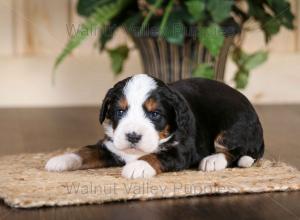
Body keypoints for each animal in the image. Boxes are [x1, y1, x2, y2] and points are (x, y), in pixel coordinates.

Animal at [45, 74, 264, 179]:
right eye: (120, 112)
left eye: (155, 114)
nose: (133, 136)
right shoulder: (111, 145)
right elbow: (85, 151)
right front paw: (61, 159)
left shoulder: (182, 151)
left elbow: (157, 155)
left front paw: (139, 166)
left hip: (232, 127)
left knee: (237, 151)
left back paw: (213, 160)